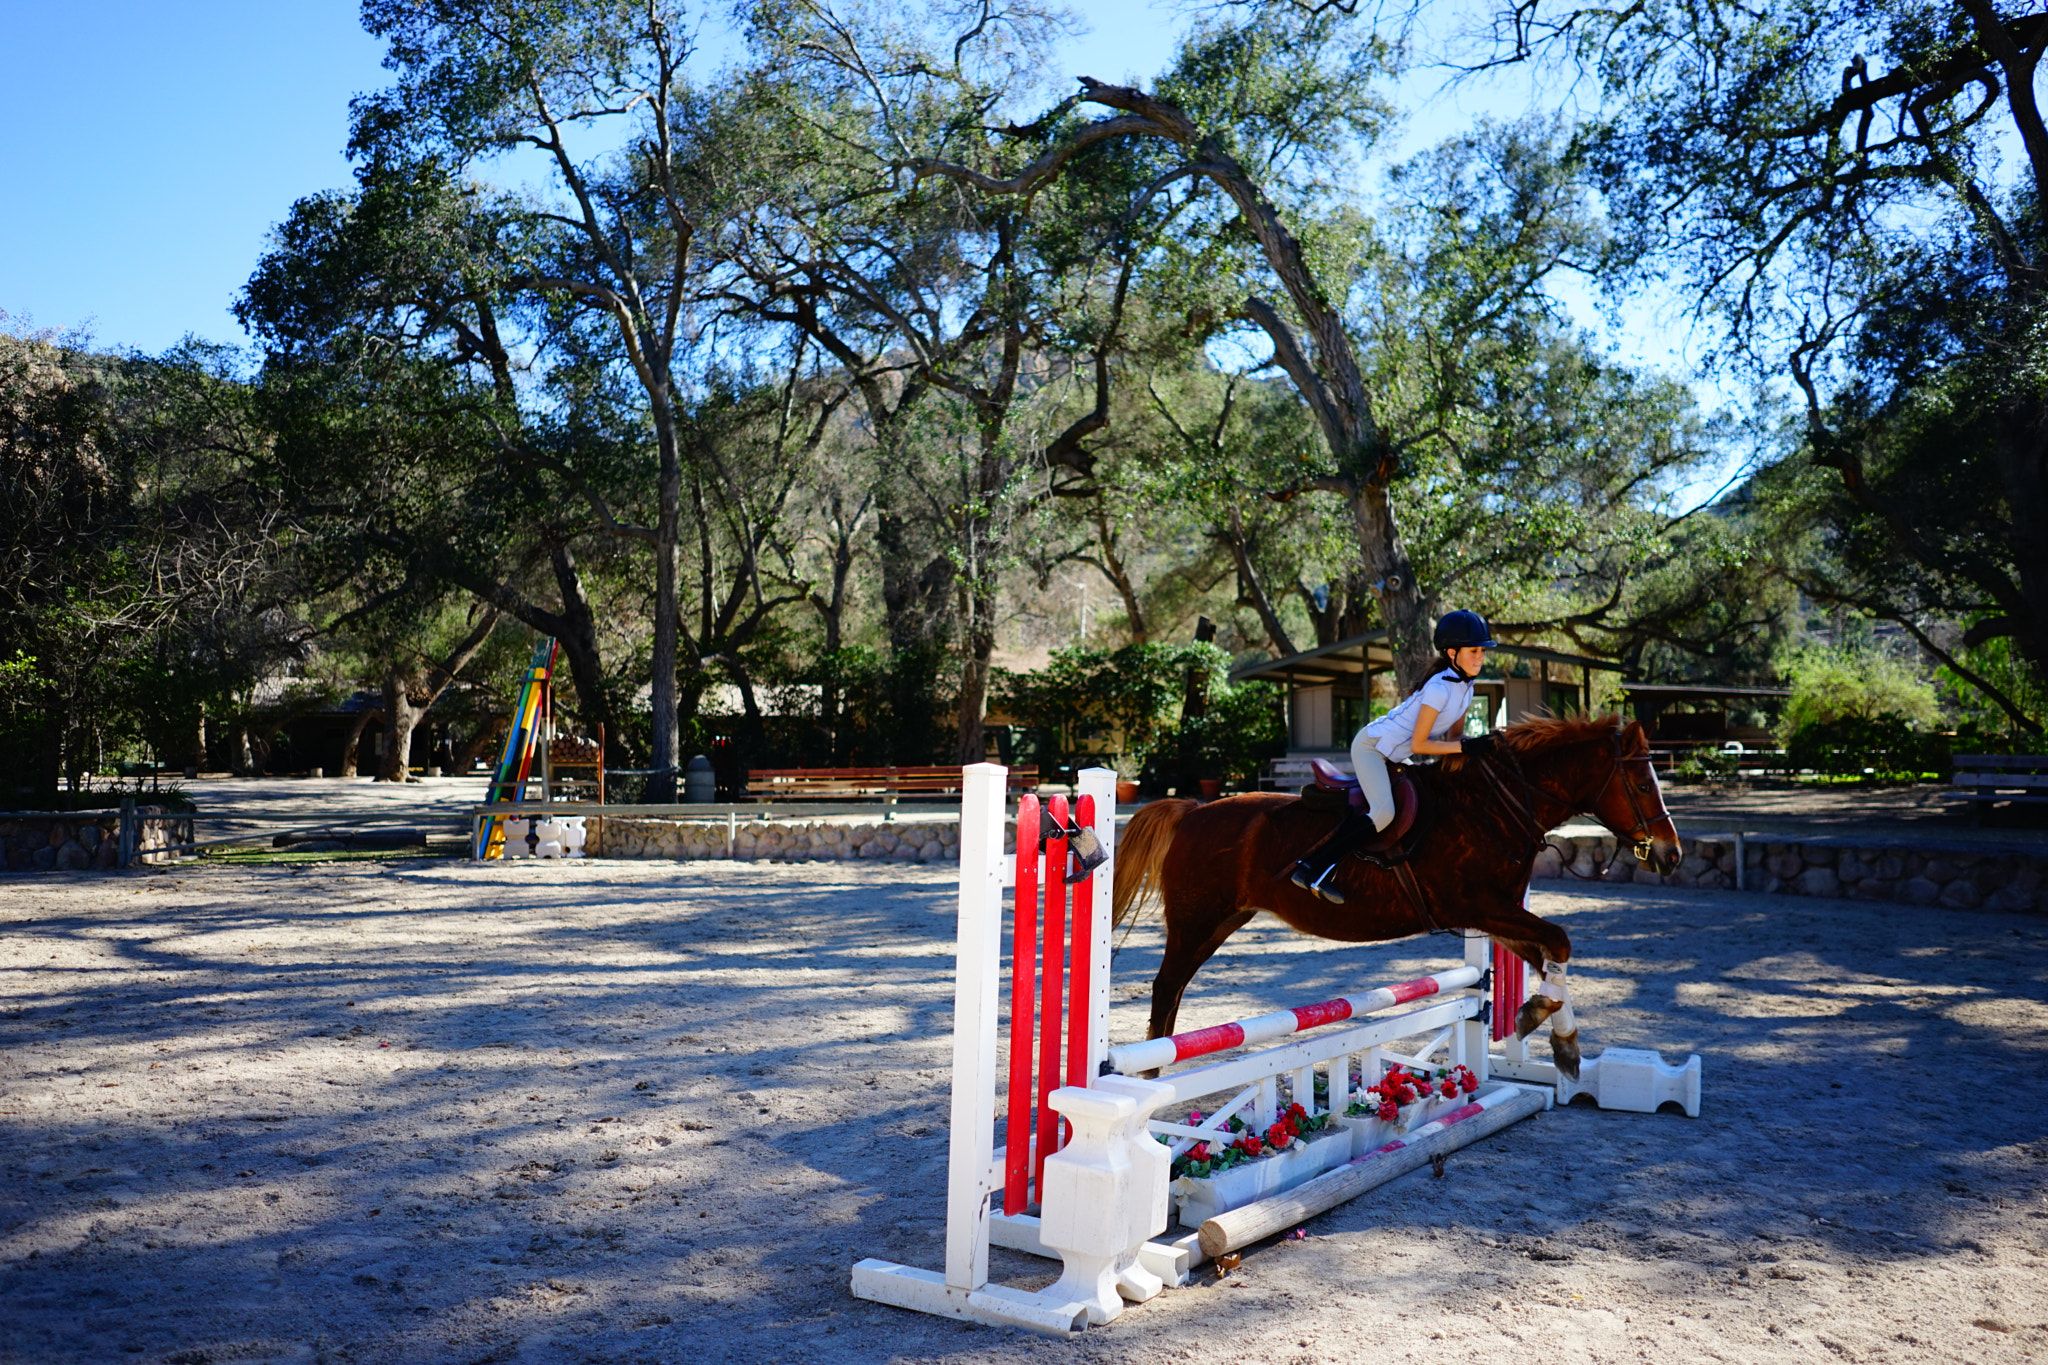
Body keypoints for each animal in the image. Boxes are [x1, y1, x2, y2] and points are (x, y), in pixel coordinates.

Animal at [1122, 716, 1679, 1080]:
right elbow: (1559, 940)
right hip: (1196, 920)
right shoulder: (1478, 906)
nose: (1670, 855)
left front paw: (1557, 1037)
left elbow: (1550, 959)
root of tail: (1191, 810)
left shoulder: (1497, 917)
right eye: (1641, 785)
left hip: (1221, 920)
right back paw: (1149, 1082)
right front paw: (1548, 1028)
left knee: (1173, 990)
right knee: (1166, 988)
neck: (1494, 807)